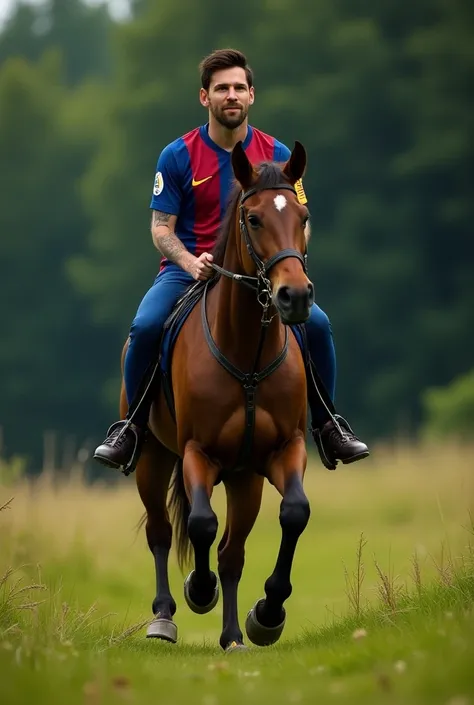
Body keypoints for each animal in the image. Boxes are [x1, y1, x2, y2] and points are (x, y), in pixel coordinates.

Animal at [124, 140, 314, 652]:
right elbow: (200, 523)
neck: (246, 353)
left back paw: (233, 635)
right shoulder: (198, 453)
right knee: (160, 531)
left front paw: (268, 613)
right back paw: (164, 616)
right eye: (253, 219)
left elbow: (295, 512)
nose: (294, 296)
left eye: (303, 216)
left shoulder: (283, 450)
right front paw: (199, 588)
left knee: (232, 552)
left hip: (244, 479)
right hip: (152, 457)